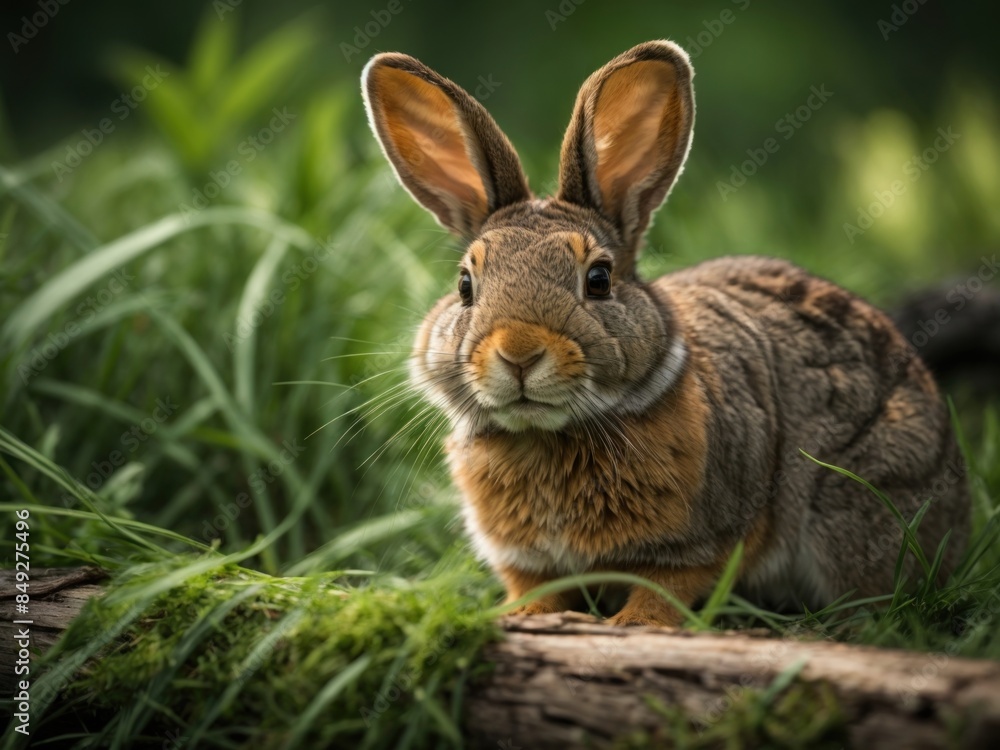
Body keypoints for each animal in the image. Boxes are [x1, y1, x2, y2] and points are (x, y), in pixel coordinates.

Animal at [361, 41, 970, 626]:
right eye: (465, 285)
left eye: (599, 279)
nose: (519, 353)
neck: (549, 434)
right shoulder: (527, 560)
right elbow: (541, 589)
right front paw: (524, 615)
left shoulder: (701, 542)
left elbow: (667, 586)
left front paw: (634, 624)